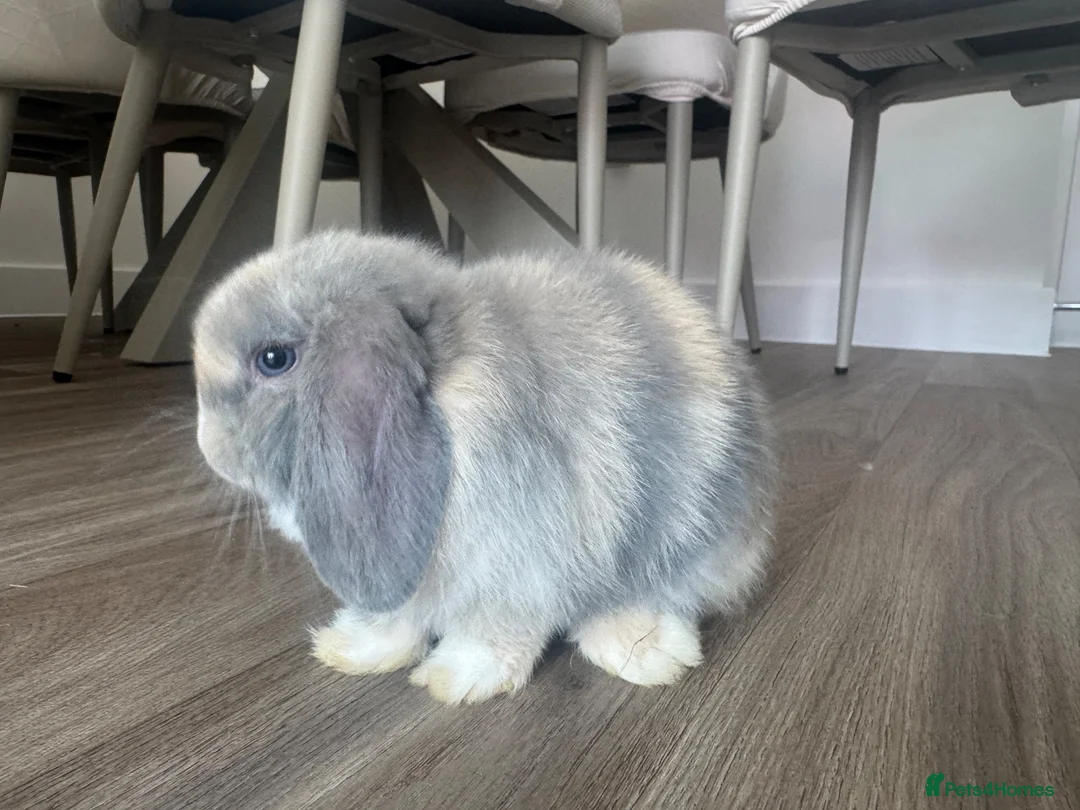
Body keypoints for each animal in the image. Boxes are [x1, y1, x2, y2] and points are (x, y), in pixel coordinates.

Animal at [192, 229, 775, 705]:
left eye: (274, 359)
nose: (208, 448)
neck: (450, 390)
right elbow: (398, 617)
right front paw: (353, 649)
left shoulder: (518, 566)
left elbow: (494, 630)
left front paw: (456, 678)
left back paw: (645, 650)